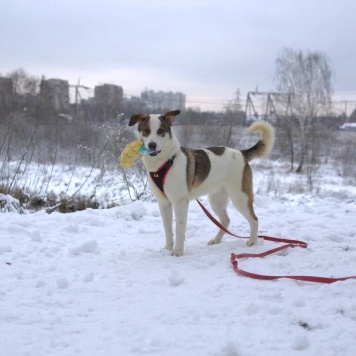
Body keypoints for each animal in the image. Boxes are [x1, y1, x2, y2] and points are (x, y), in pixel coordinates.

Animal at [129, 109, 276, 256]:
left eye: (160, 131)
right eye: (146, 131)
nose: (152, 145)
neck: (165, 161)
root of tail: (241, 153)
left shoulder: (180, 202)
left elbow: (179, 228)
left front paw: (178, 251)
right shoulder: (164, 203)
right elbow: (168, 229)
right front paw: (168, 248)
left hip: (240, 197)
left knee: (254, 219)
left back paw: (252, 241)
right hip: (216, 200)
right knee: (225, 220)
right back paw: (216, 240)